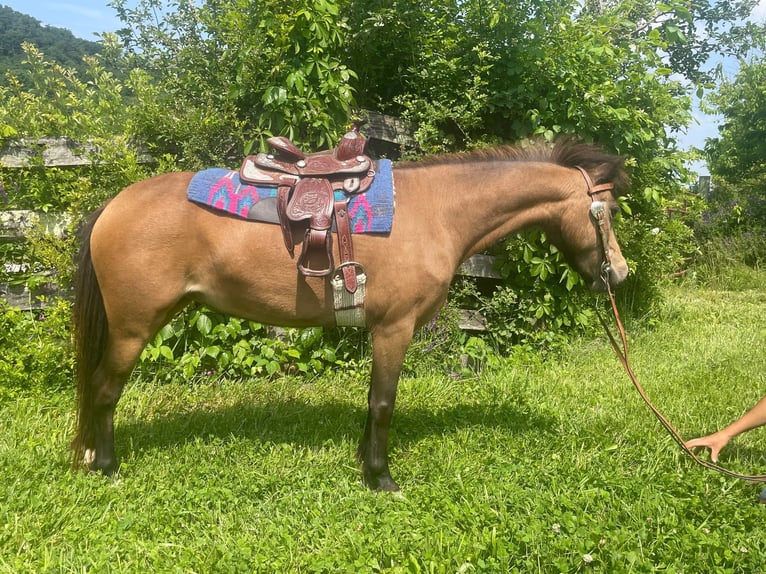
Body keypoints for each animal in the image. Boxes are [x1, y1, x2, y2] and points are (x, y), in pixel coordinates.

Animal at [72, 137, 632, 492]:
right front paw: (381, 478)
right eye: (606, 211)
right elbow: (384, 403)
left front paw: (366, 462)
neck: (437, 211)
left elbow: (371, 402)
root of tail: (112, 207)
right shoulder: (394, 328)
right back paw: (107, 466)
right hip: (132, 327)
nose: (619, 274)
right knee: (103, 391)